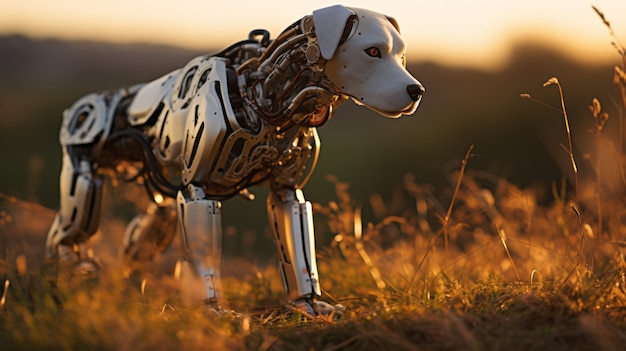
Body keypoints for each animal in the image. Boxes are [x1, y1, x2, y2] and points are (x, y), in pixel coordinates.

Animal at [46, 4, 422, 314]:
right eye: (372, 51)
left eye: (401, 56)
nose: (417, 91)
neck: (262, 94)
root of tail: (78, 108)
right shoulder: (197, 192)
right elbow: (204, 257)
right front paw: (213, 310)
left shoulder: (287, 193)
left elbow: (297, 252)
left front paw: (309, 303)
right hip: (85, 183)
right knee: (63, 236)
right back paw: (67, 278)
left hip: (160, 204)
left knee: (140, 239)